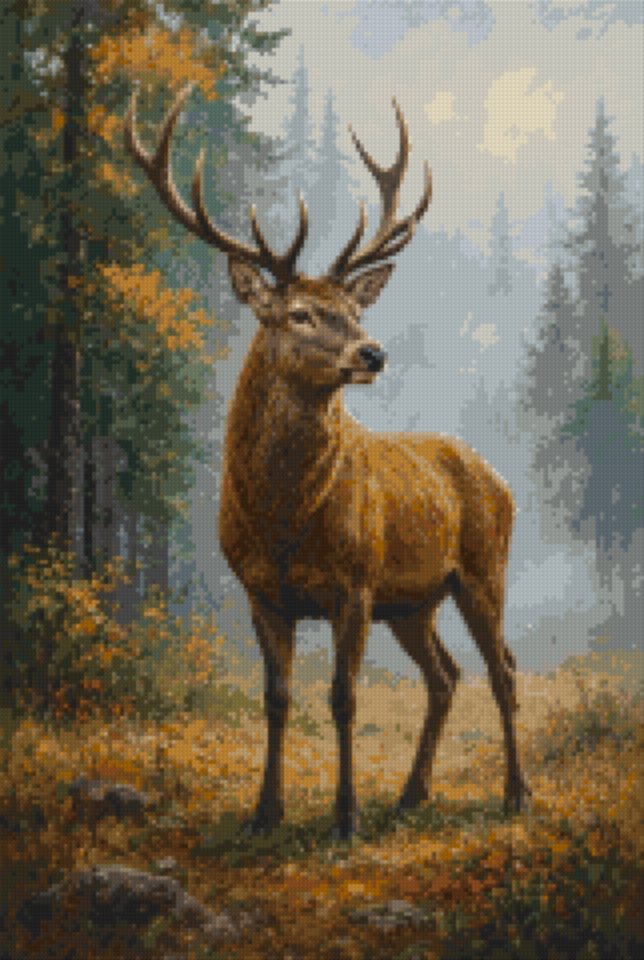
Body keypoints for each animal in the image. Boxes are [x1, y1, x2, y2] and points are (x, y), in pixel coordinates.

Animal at [125, 85, 530, 840]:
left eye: (352, 307)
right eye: (300, 315)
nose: (372, 352)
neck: (285, 519)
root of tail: (496, 476)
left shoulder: (354, 583)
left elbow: (343, 697)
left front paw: (345, 817)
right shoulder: (261, 591)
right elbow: (278, 697)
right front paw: (265, 813)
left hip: (481, 568)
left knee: (504, 671)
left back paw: (516, 793)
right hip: (414, 601)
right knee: (445, 677)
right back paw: (410, 793)